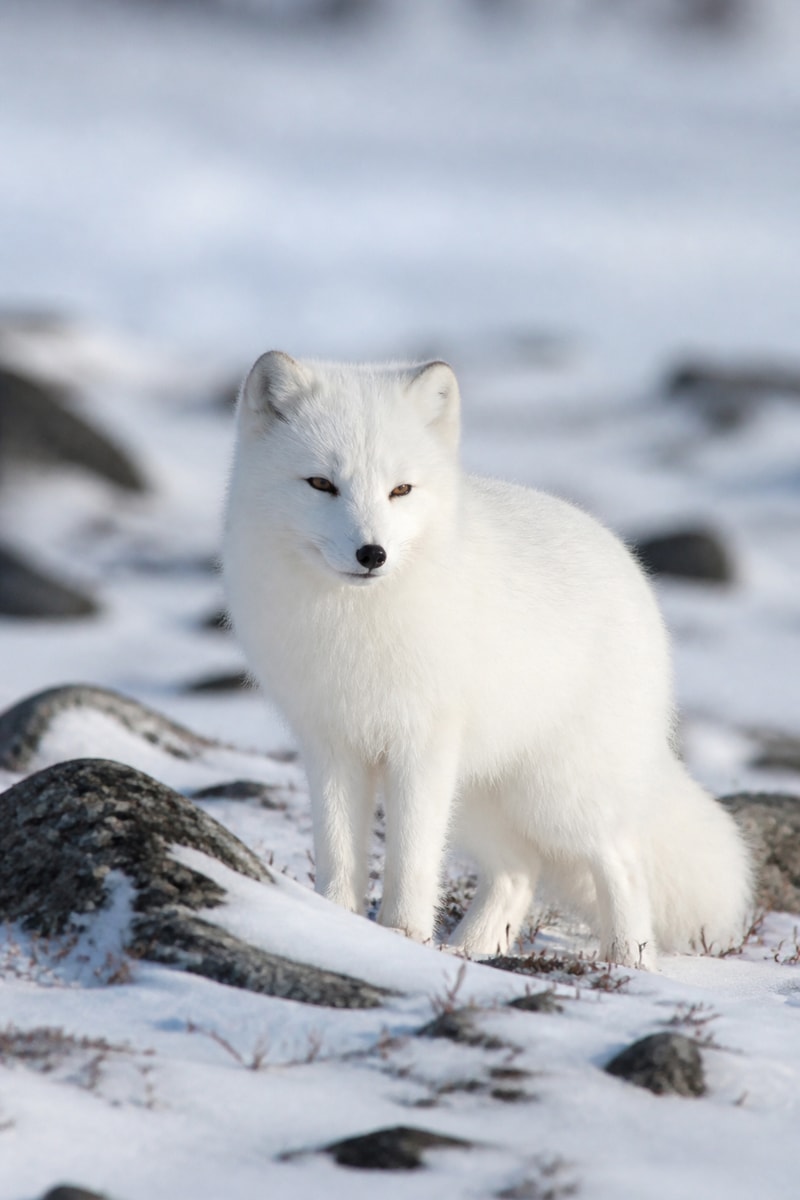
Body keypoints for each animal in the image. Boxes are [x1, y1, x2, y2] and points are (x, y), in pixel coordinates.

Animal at [223, 352, 752, 967]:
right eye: (320, 484)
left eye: (401, 489)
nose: (372, 553)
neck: (353, 623)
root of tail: (630, 567)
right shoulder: (331, 744)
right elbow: (337, 850)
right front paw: (334, 920)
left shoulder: (421, 744)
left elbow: (413, 857)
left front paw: (402, 935)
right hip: (479, 792)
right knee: (519, 871)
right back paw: (472, 951)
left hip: (558, 791)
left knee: (621, 860)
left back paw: (629, 963)